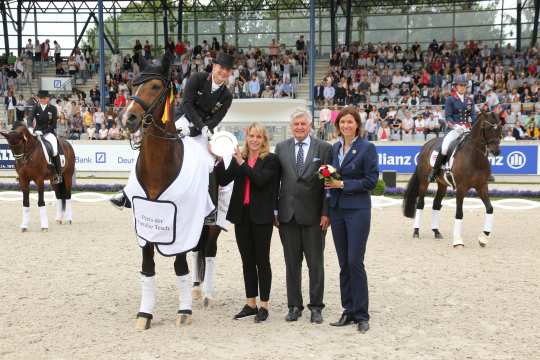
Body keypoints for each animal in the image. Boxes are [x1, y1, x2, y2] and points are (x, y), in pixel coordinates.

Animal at [402, 112, 504, 248]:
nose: (496, 151)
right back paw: (416, 232)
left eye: (500, 128)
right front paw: (458, 241)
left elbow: (490, 209)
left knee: (436, 204)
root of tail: (427, 145)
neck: (475, 158)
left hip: (442, 184)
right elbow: (459, 213)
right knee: (420, 204)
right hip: (424, 182)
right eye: (488, 128)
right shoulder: (461, 188)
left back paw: (436, 232)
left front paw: (483, 238)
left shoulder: (482, 186)